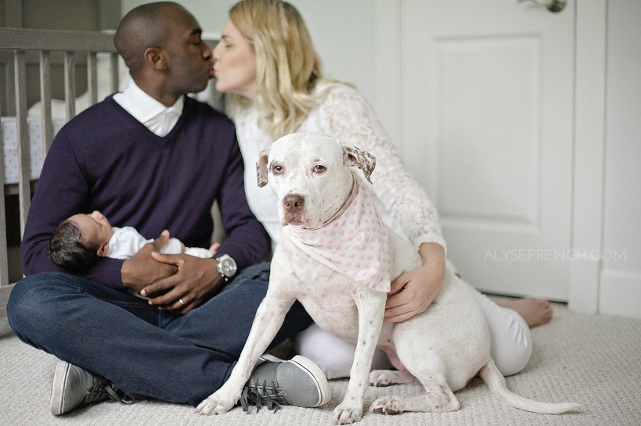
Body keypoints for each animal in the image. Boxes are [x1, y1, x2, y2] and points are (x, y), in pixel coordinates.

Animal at [196, 132, 580, 422]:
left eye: (319, 168)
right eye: (278, 168)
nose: (292, 201)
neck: (321, 241)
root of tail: (486, 354)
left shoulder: (369, 305)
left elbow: (358, 361)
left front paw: (351, 407)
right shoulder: (273, 306)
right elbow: (246, 356)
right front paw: (222, 398)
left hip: (413, 333)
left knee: (446, 397)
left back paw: (394, 402)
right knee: (419, 380)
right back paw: (384, 379)